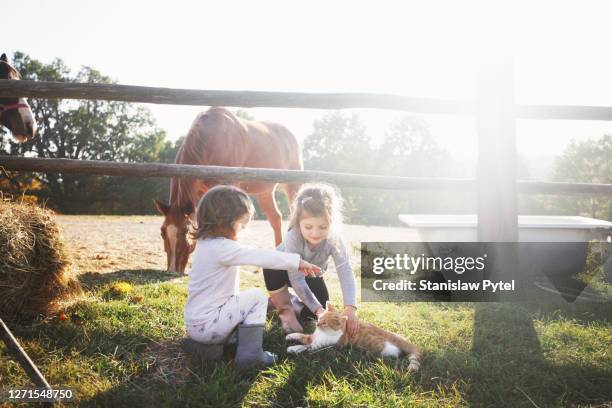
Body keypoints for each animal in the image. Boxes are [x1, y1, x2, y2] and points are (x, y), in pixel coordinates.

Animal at [154, 107, 302, 274]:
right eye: (162, 231)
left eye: (186, 232)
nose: (172, 270)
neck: (213, 139)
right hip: (265, 191)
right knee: (275, 218)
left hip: (292, 184)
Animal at [286, 302, 420, 372]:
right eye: (319, 319)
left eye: (325, 323)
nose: (317, 324)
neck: (322, 333)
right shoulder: (312, 338)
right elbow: (302, 336)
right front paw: (290, 335)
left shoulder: (320, 346)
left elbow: (305, 347)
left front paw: (293, 348)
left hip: (383, 349)